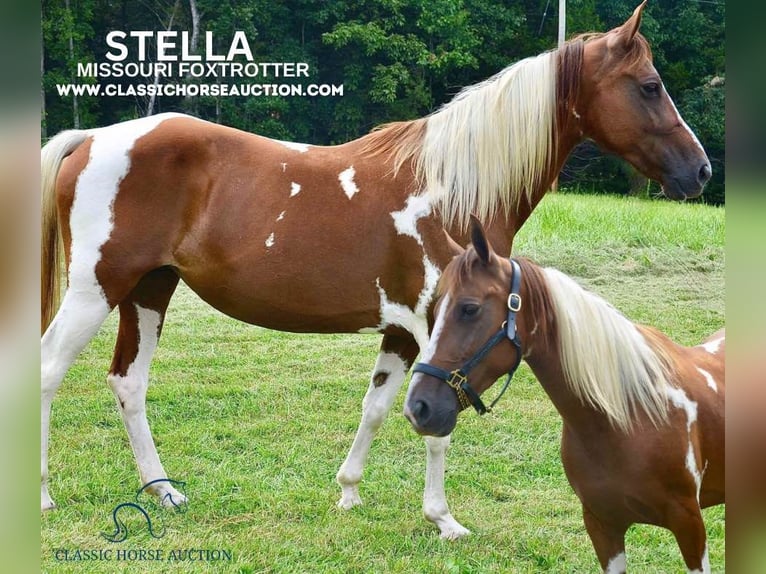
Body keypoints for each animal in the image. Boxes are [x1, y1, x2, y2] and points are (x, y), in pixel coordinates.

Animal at [40, 2, 712, 540]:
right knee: (48, 372)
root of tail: (93, 137)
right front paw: (444, 519)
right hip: (97, 289)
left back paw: (164, 493)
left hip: (149, 289)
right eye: (649, 86)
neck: (451, 189)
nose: (701, 170)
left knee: (129, 382)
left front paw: (348, 491)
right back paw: (45, 496)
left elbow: (381, 406)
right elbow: (438, 423)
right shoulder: (441, 323)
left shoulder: (405, 330)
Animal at [408, 216, 728, 572]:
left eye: (469, 308)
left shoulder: (690, 526)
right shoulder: (602, 526)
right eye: (435, 308)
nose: (418, 407)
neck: (631, 416)